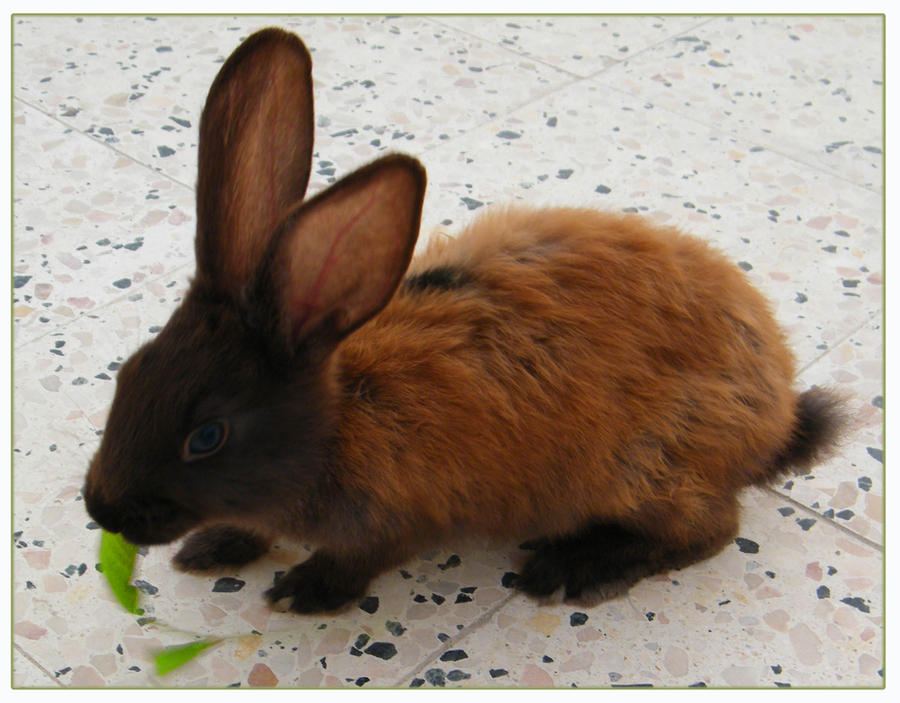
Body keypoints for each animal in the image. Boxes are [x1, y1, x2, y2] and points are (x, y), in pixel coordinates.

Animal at [83, 27, 846, 614]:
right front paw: (212, 547)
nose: (99, 510)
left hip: (650, 468)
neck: (342, 417)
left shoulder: (396, 520)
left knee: (710, 529)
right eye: (129, 373)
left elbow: (360, 558)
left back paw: (570, 569)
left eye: (206, 436)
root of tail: (776, 415)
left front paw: (303, 591)